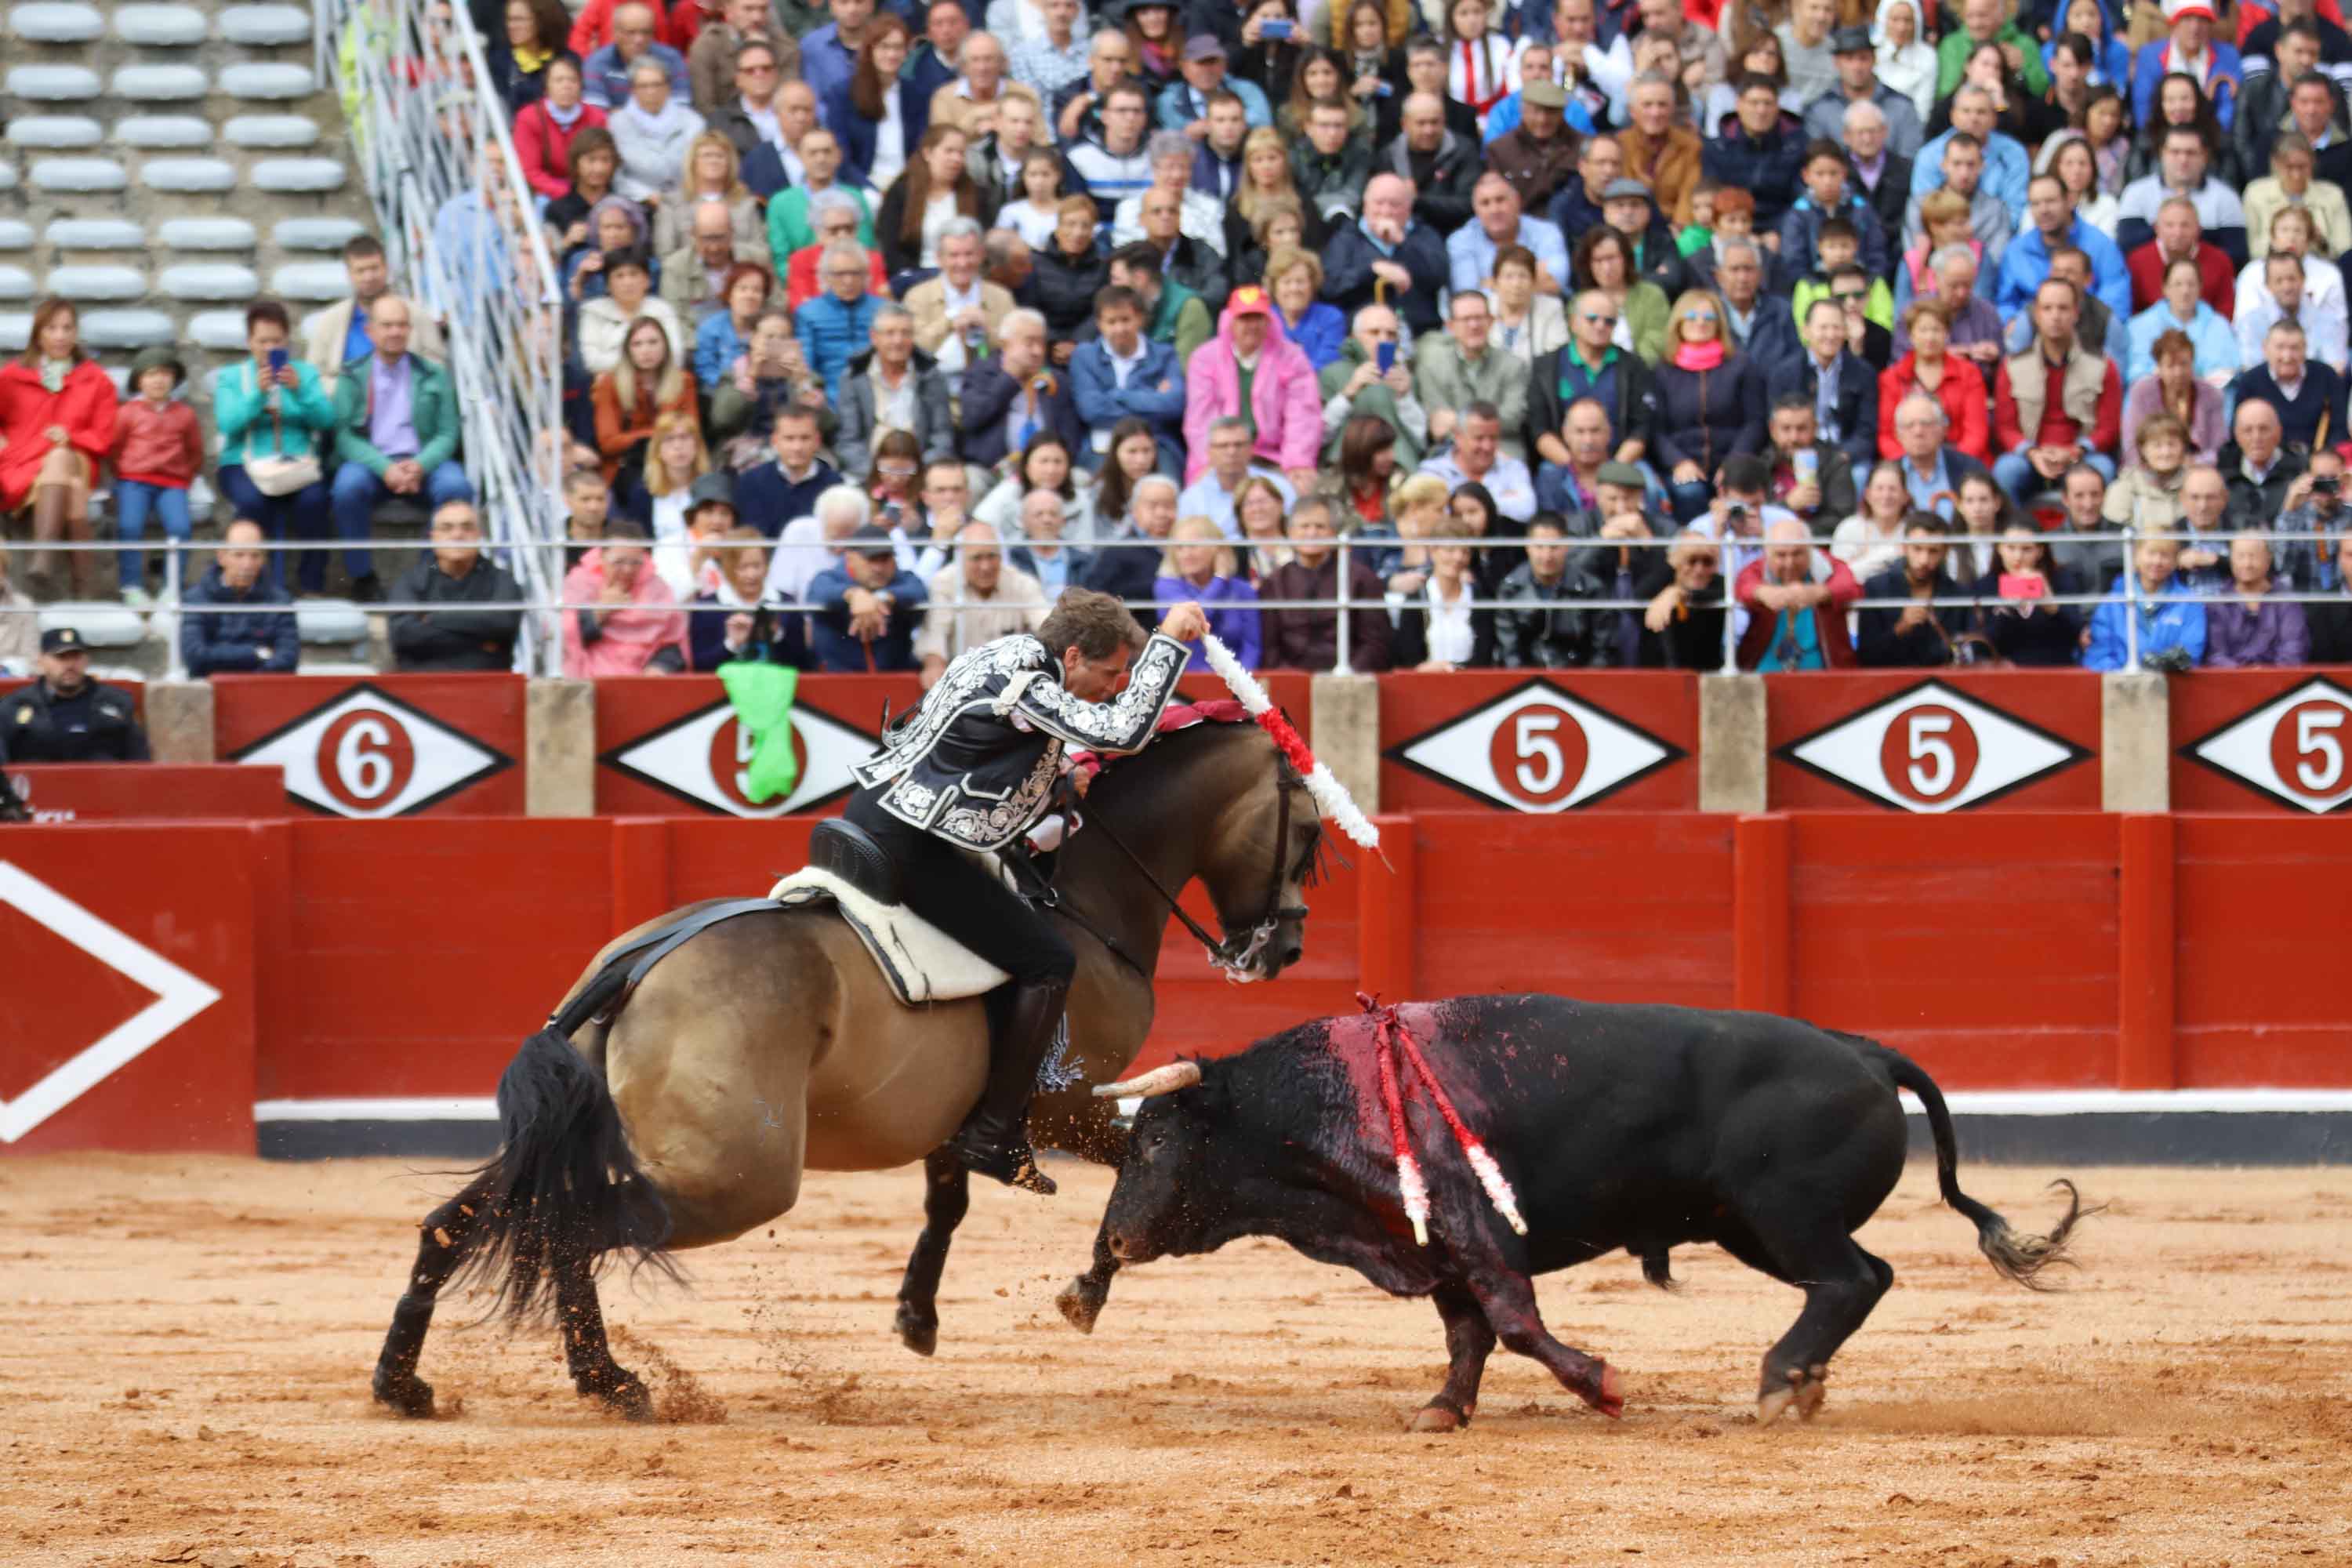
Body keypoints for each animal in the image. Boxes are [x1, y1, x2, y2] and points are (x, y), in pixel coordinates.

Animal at [369, 705, 1327, 1420]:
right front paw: (1083, 1292)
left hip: (590, 1139)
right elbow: (1140, 1164)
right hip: (743, 1179)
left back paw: (416, 1381)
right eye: (1312, 834)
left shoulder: (966, 1117)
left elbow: (950, 1200)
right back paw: (605, 1380)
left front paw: (916, 1317)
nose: (1285, 948)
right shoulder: (1073, 1101)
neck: (1081, 894)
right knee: (566, 1227)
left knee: (467, 1220)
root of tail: (634, 967)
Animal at [1077, 1001, 2089, 1429]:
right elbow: (1469, 1335)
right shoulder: (1434, 1249)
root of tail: (1865, 1050)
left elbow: (1516, 1322)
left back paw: (1775, 1383)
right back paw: (1801, 1383)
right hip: (1752, 1225)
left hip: (1781, 1213)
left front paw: (1602, 1383)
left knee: (1846, 1278)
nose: (1113, 1240)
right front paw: (1441, 1410)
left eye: (1156, 1141)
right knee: (1865, 1275)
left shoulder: (1476, 1235)